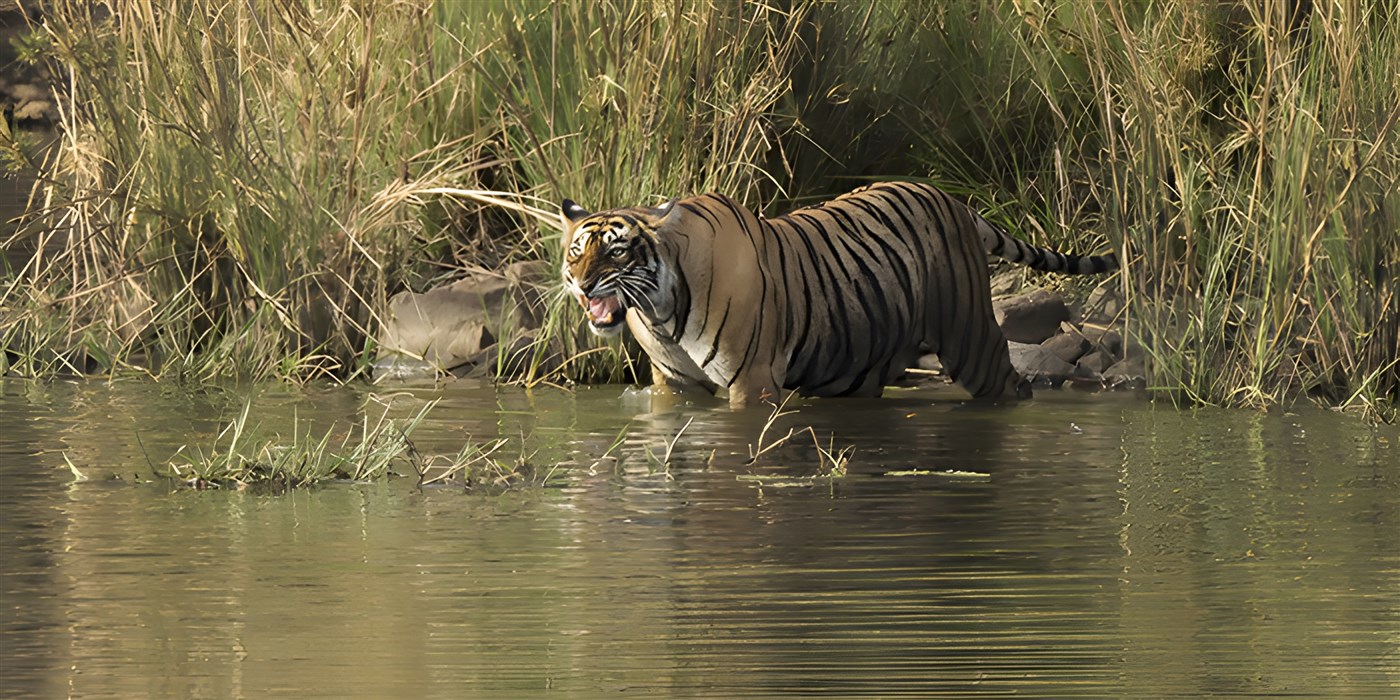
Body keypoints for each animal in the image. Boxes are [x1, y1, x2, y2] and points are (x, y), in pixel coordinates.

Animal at [560, 181, 1117, 407]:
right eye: (576, 253)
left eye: (616, 253)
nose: (582, 285)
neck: (660, 309)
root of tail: (955, 201)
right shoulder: (674, 384)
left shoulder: (753, 381)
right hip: (858, 360)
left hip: (970, 338)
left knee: (1012, 384)